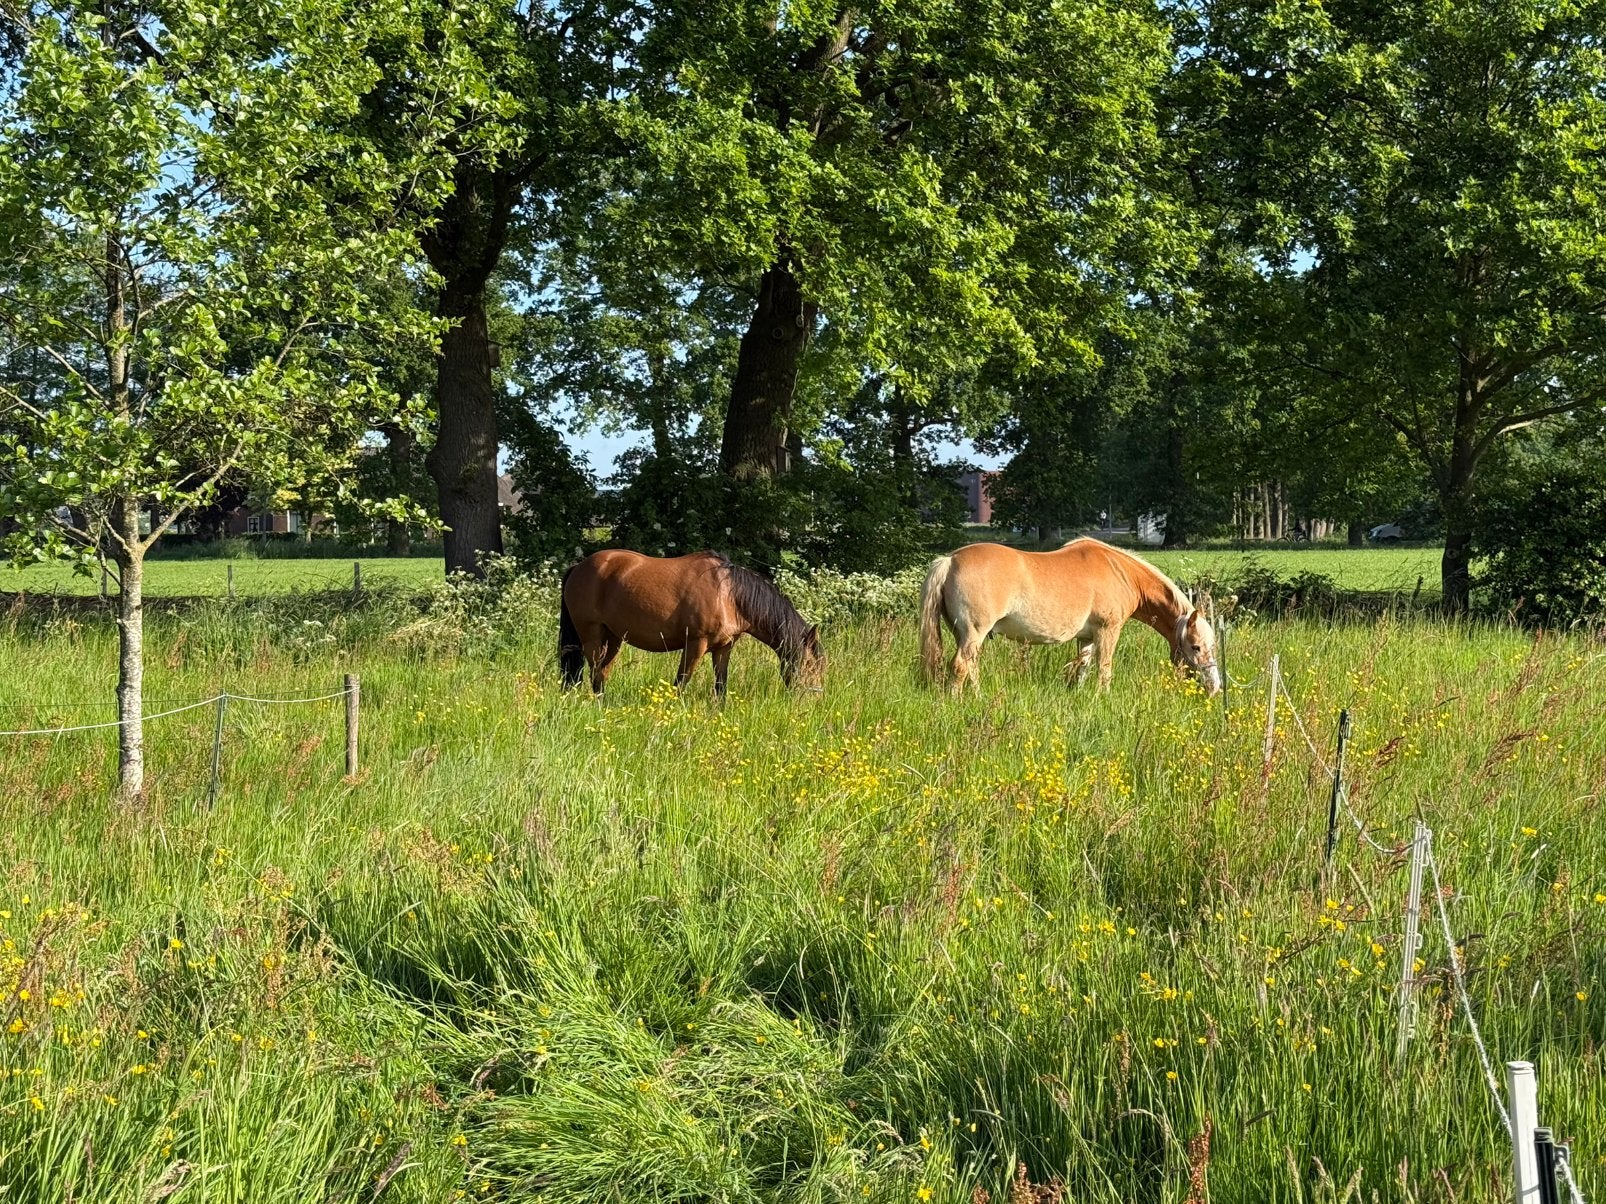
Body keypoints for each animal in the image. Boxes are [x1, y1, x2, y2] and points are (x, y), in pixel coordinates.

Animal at [558, 549, 825, 696]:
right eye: (810, 665)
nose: (814, 698)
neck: (728, 595)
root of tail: (578, 567)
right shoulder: (696, 644)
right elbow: (680, 683)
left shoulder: (723, 648)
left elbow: (720, 686)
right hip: (591, 634)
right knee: (595, 672)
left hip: (613, 637)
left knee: (602, 672)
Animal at [918, 538, 1221, 695]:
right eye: (1196, 647)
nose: (1215, 686)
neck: (1121, 573)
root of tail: (950, 560)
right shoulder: (1108, 631)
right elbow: (1104, 669)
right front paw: (1102, 697)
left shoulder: (1086, 637)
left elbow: (1083, 668)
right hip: (973, 633)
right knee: (960, 666)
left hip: (964, 635)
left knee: (971, 667)